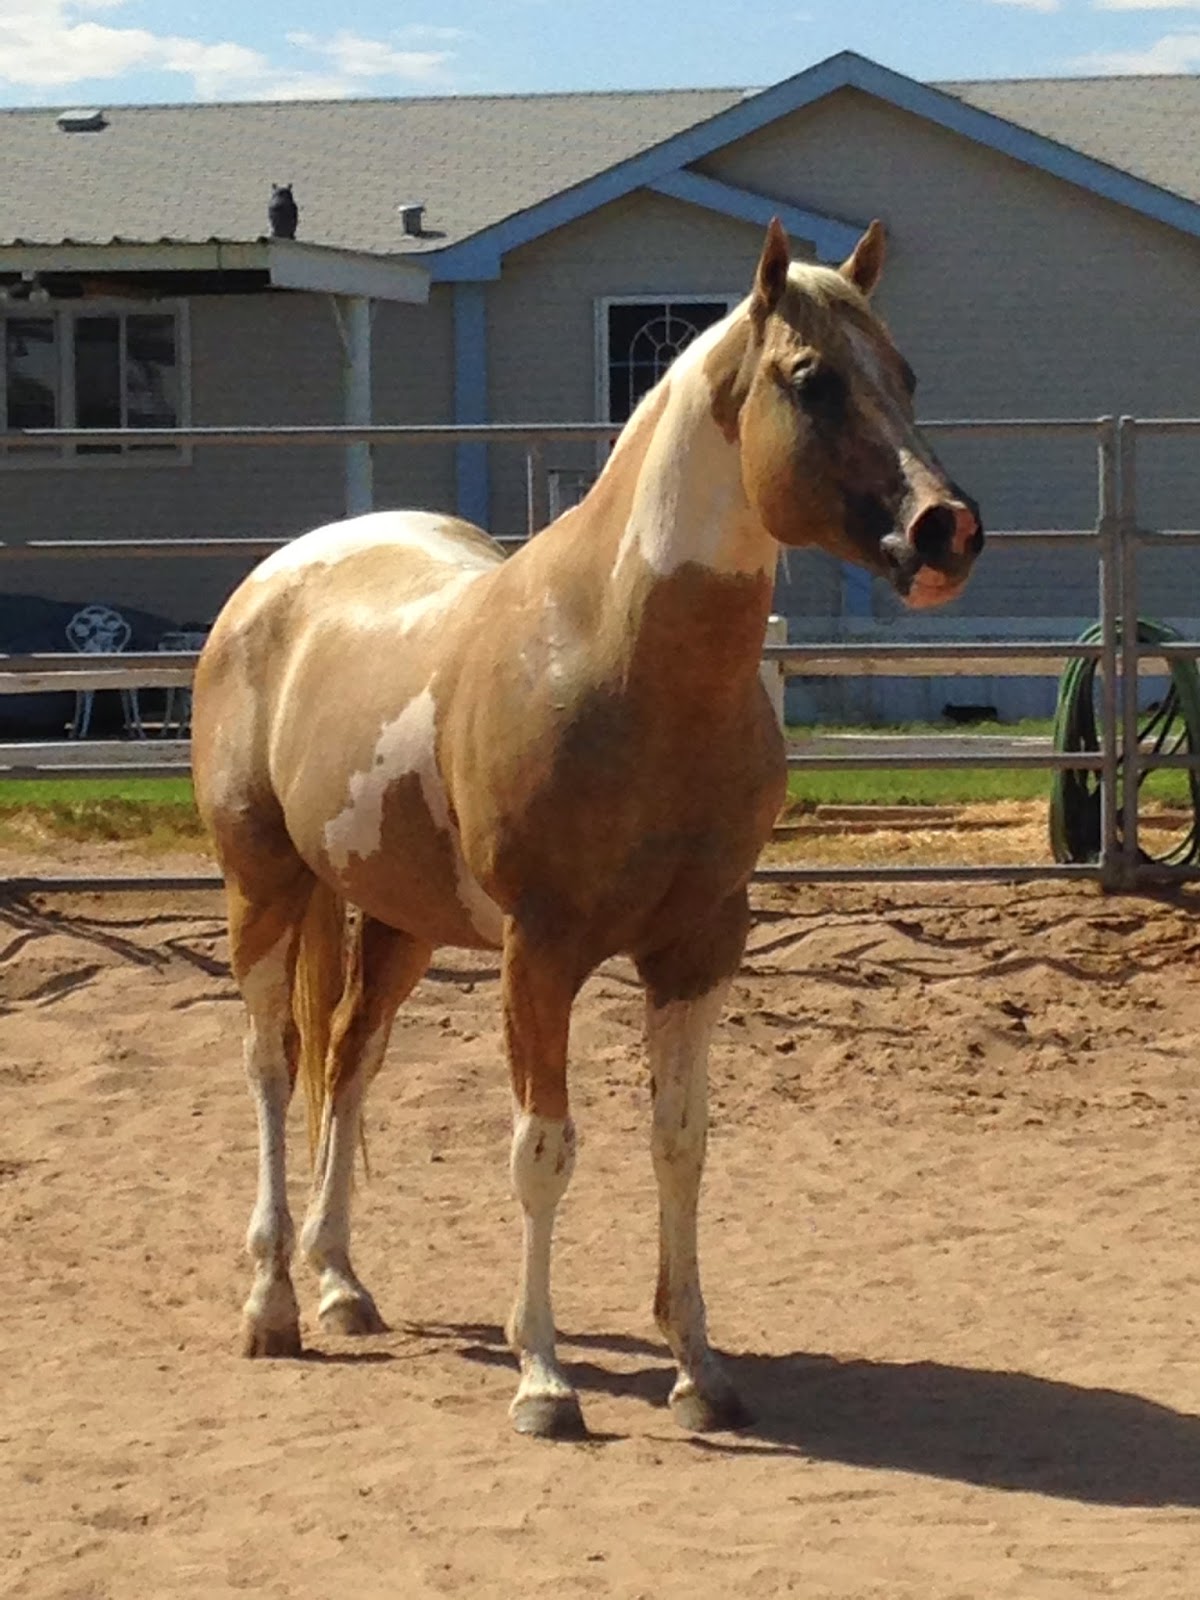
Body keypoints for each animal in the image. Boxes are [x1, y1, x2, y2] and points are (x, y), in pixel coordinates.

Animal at [191, 218, 983, 1439]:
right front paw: (543, 1381)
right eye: (812, 378)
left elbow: (680, 1143)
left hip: (398, 918)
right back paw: (273, 1304)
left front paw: (699, 1371)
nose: (944, 531)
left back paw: (341, 1286)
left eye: (905, 375)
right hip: (265, 889)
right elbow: (541, 1150)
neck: (614, 659)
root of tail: (278, 577)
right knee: (274, 1068)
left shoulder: (698, 947)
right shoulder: (542, 951)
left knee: (351, 1058)